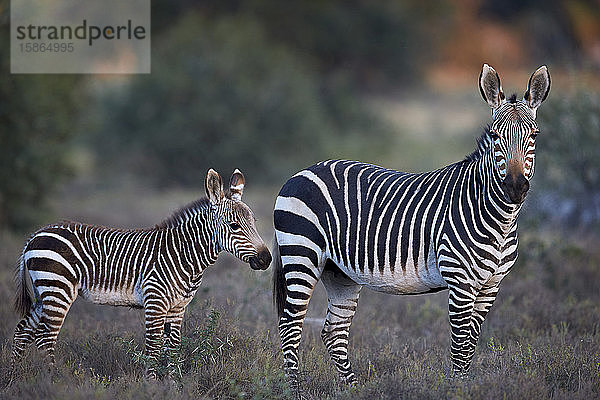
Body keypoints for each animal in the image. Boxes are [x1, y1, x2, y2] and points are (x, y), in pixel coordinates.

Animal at [11, 168, 270, 378]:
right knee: (45, 337)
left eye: (254, 222)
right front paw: (152, 386)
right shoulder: (155, 302)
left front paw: (172, 386)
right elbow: (153, 349)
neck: (183, 253)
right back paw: (53, 380)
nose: (266, 259)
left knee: (23, 331)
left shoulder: (177, 307)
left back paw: (15, 378)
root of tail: (35, 235)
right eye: (234, 226)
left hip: (44, 291)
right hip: (58, 289)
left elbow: (172, 349)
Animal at [274, 65, 552, 388]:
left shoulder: (491, 285)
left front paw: (466, 387)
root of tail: (300, 172)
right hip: (301, 255)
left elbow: (471, 343)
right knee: (290, 326)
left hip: (339, 273)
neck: (499, 219)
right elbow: (460, 345)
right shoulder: (460, 281)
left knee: (333, 331)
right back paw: (296, 389)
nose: (516, 188)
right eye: (495, 135)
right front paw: (457, 389)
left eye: (534, 134)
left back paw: (352, 388)